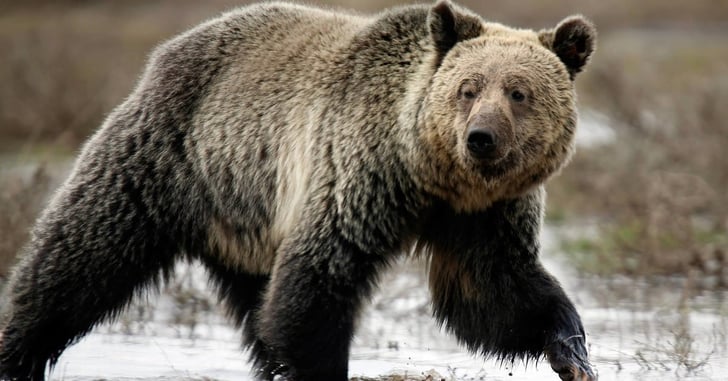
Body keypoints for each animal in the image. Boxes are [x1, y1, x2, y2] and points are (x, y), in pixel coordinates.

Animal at [0, 0, 592, 380]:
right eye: (468, 89)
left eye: (518, 92)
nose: (481, 138)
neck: (432, 175)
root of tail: (170, 48)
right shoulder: (358, 174)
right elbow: (318, 280)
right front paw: (321, 370)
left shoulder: (484, 216)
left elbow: (494, 292)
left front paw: (572, 351)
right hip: (168, 158)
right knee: (79, 256)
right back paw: (17, 350)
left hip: (247, 217)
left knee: (257, 304)